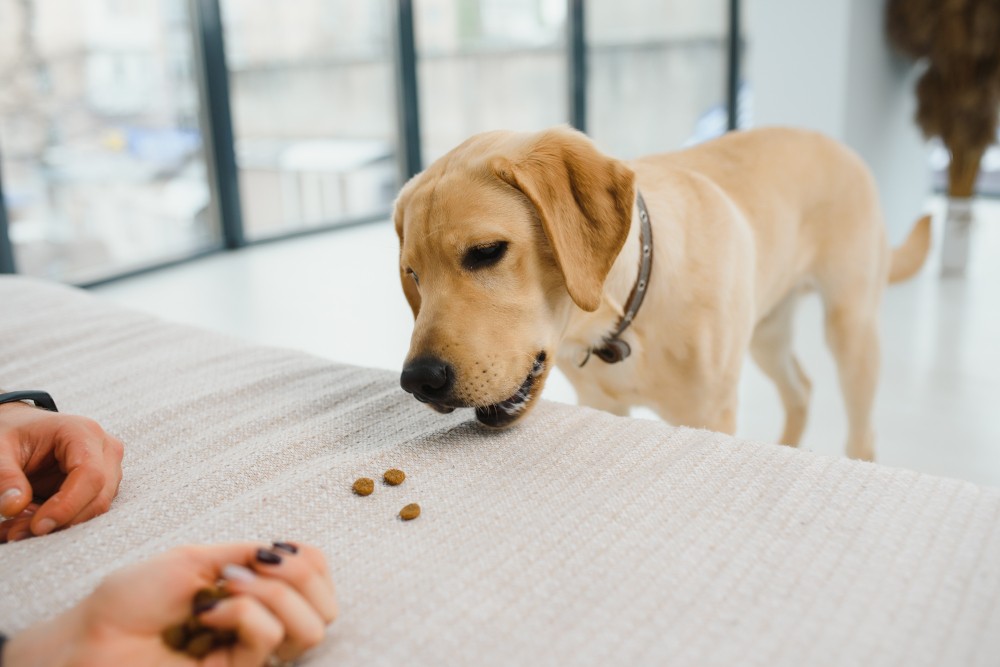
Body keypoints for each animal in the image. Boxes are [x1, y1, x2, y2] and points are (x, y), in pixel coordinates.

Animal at [392, 124, 928, 460]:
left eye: (486, 251)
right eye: (413, 275)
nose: (420, 380)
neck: (623, 319)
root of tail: (837, 142)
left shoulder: (710, 416)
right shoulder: (604, 406)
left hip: (850, 329)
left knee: (861, 433)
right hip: (766, 333)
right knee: (801, 388)